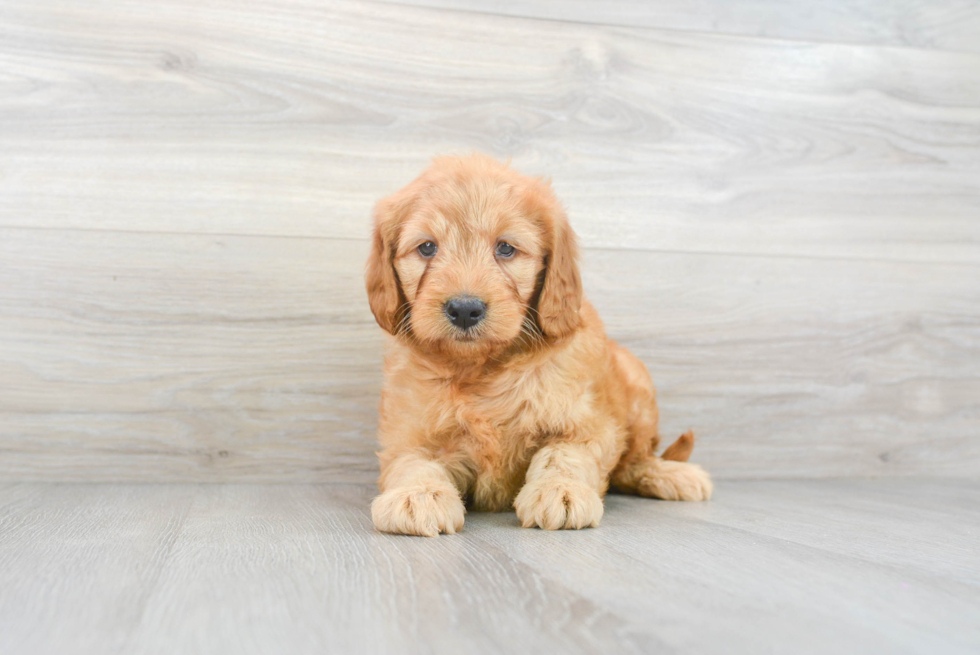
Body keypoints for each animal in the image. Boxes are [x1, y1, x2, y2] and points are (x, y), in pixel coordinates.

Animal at [368, 155, 712, 540]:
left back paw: (671, 474)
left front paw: (559, 490)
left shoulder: (587, 424)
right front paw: (418, 494)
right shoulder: (409, 430)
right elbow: (413, 461)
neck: (483, 367)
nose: (465, 309)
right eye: (427, 247)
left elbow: (562, 455)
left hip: (637, 385)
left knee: (634, 462)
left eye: (505, 248)